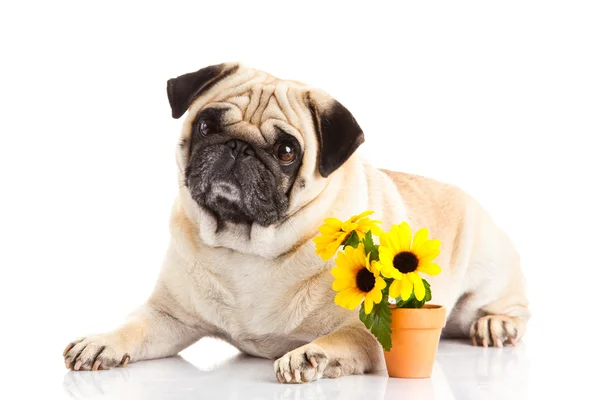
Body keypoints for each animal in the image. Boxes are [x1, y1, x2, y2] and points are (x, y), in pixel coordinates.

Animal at [62, 61, 528, 382]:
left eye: (286, 151)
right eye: (207, 125)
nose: (238, 147)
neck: (245, 248)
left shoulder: (371, 328)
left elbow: (341, 338)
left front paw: (310, 356)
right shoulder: (168, 316)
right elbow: (132, 325)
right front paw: (101, 342)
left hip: (484, 274)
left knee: (507, 306)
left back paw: (496, 324)